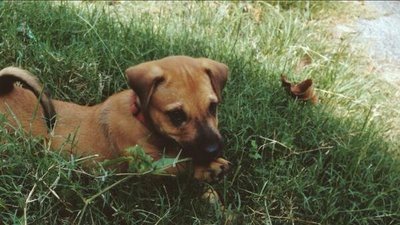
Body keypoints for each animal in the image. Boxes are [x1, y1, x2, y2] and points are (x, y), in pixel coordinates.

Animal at [0, 55, 230, 182]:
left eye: (213, 107)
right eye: (176, 115)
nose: (214, 150)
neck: (140, 119)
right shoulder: (147, 164)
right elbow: (180, 164)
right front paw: (207, 168)